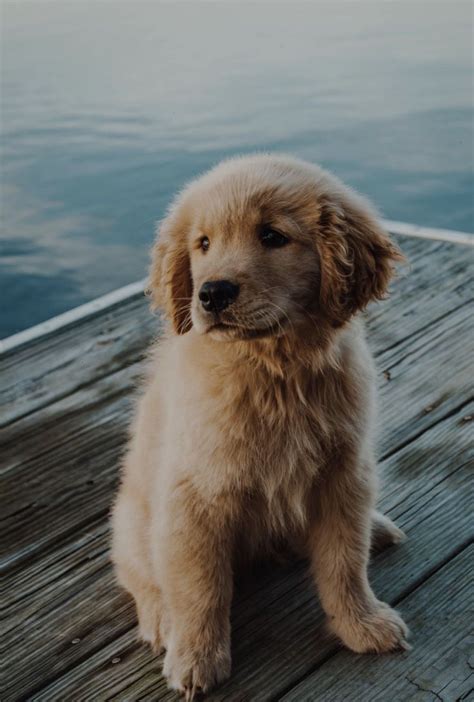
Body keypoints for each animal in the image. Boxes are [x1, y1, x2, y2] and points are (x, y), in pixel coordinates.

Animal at [111, 154, 408, 700]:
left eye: (272, 236)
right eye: (203, 244)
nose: (211, 294)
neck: (274, 370)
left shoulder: (343, 474)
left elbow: (344, 562)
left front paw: (361, 623)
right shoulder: (194, 497)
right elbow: (200, 587)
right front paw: (196, 658)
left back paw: (375, 527)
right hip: (132, 520)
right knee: (143, 575)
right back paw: (162, 622)